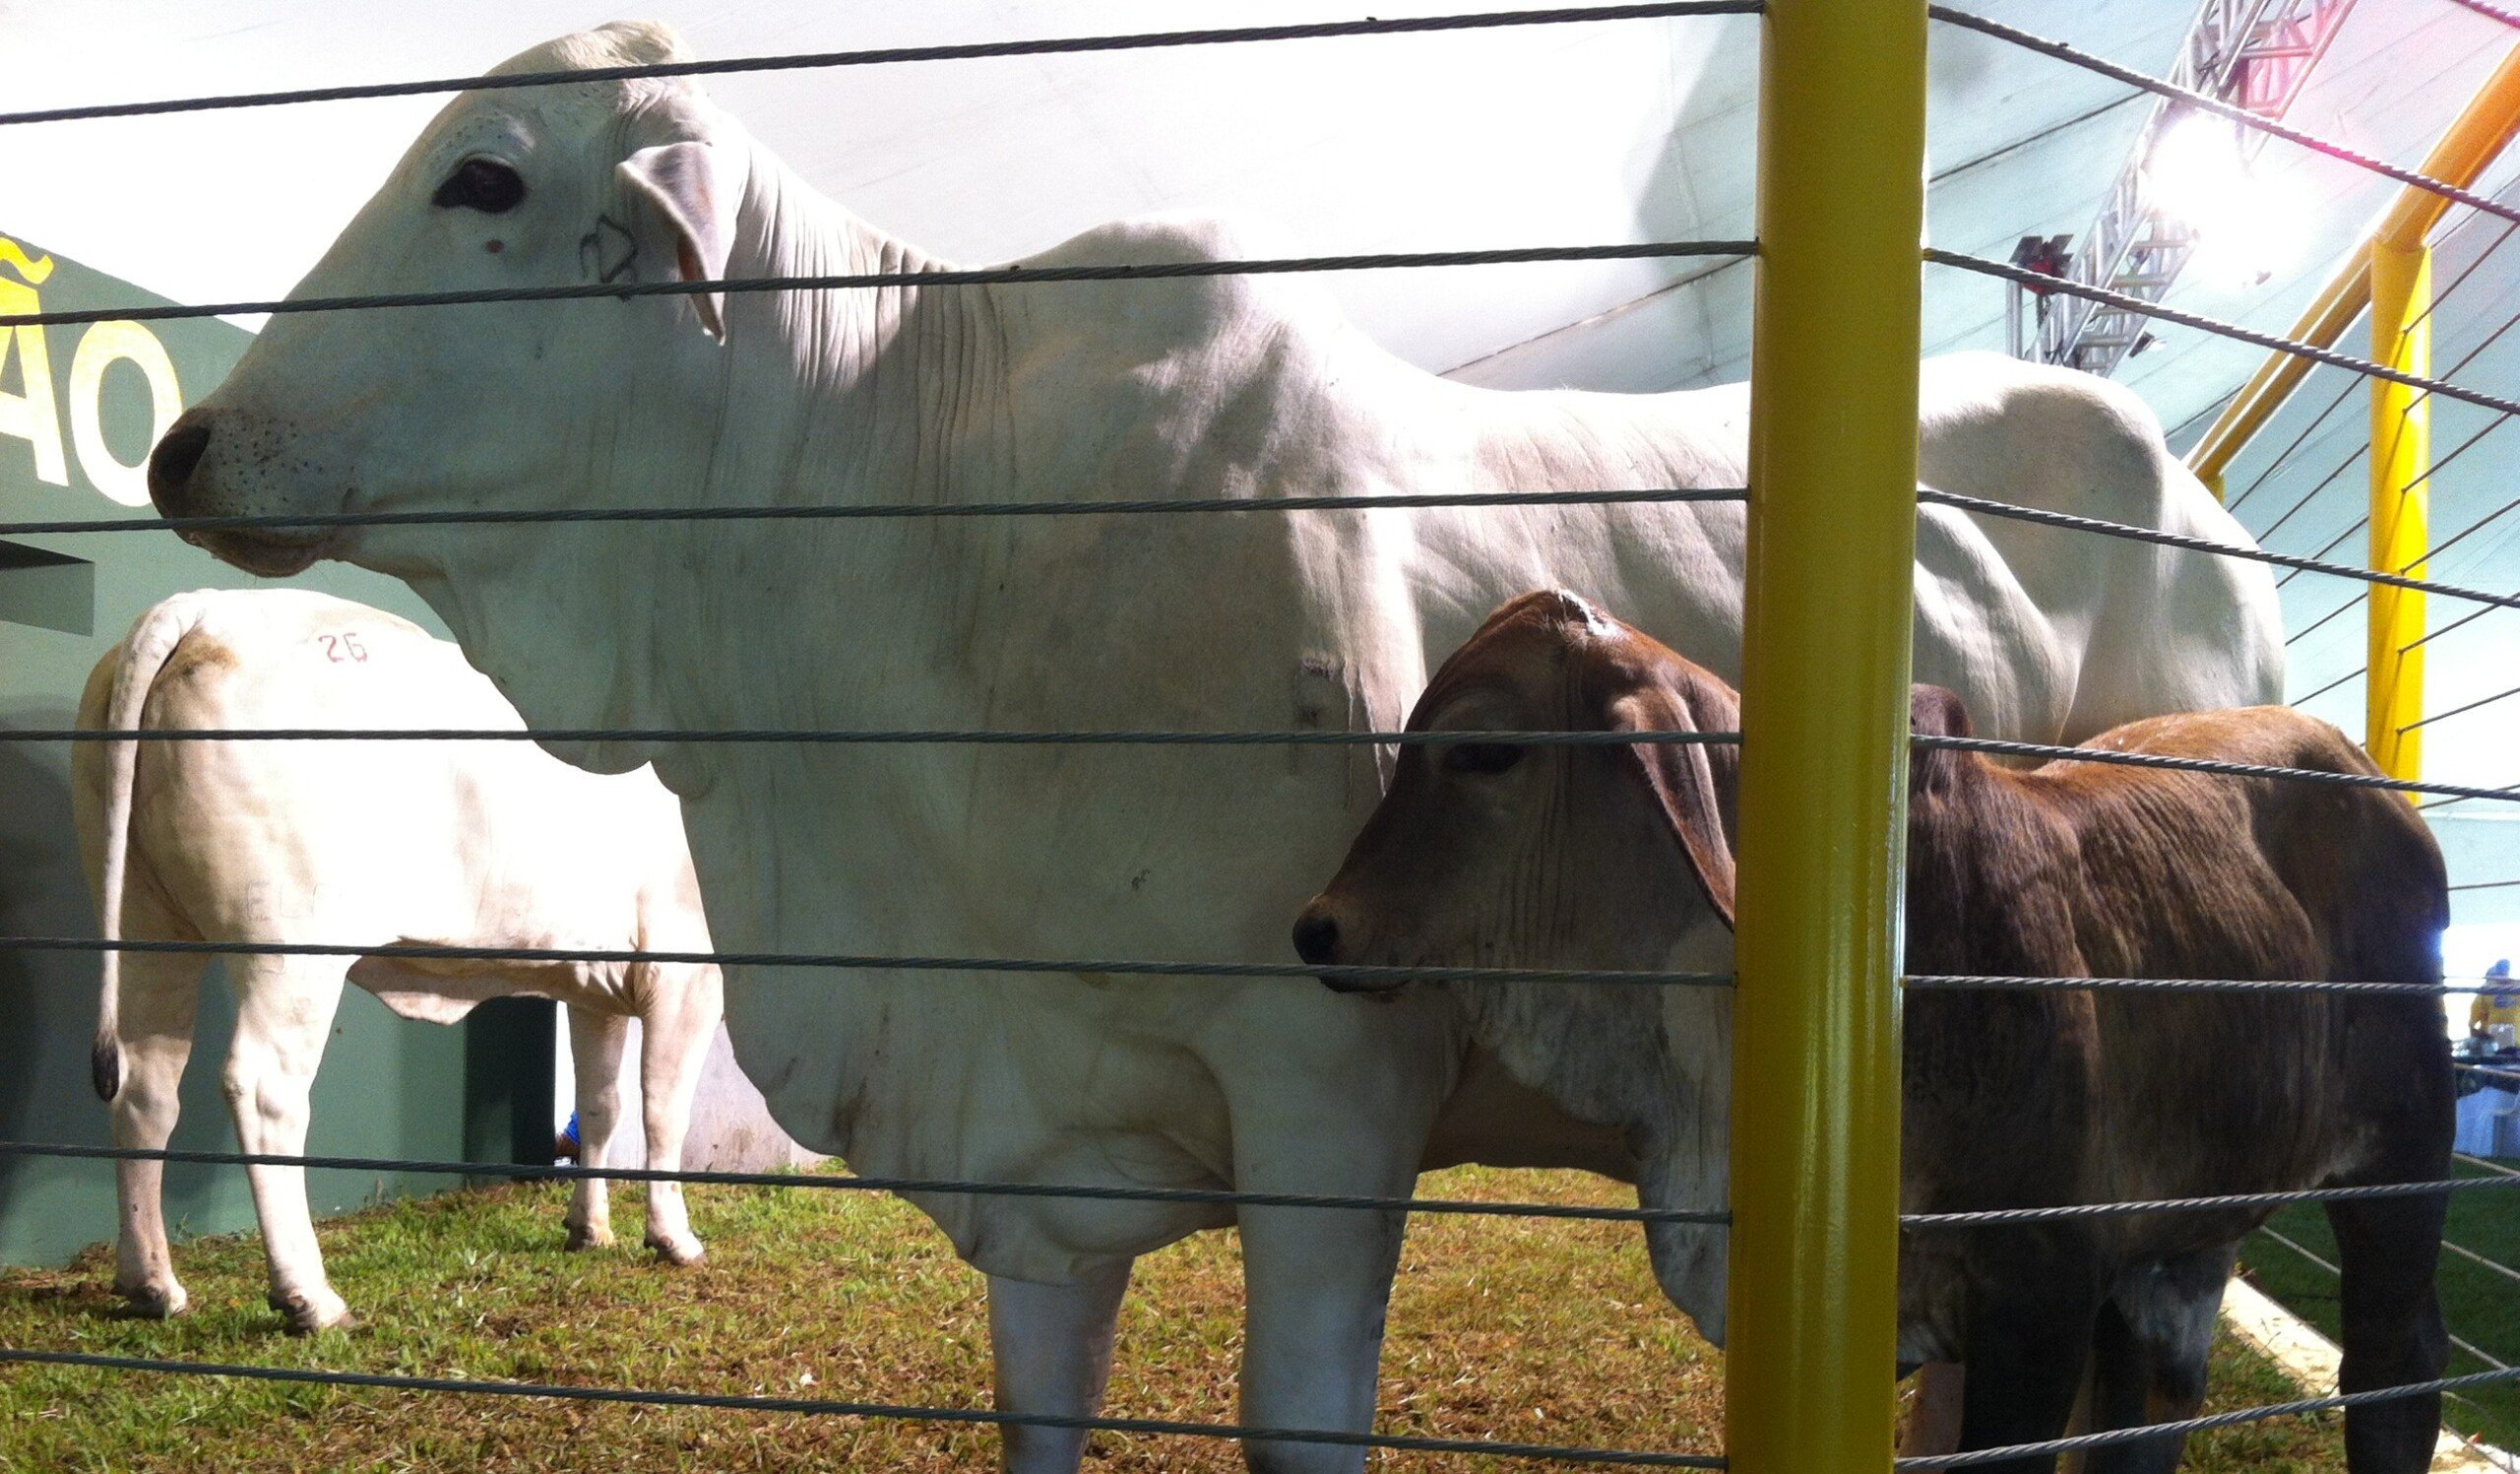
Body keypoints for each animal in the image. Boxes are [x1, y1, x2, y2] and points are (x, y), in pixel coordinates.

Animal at [76, 587, 721, 1330]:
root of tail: (209, 607)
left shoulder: (595, 982)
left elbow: (602, 1104)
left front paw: (590, 1227)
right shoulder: (688, 968)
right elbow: (663, 1107)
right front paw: (673, 1237)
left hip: (145, 919)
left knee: (145, 1083)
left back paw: (151, 1282)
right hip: (290, 943)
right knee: (264, 1087)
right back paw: (308, 1295)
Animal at [1310, 589, 2449, 1471]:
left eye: (1484, 749)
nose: (1317, 927)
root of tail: (2365, 776)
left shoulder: (2037, 1291)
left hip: (2400, 1163)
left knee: (2398, 1369)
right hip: (2180, 1236)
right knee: (2153, 1401)